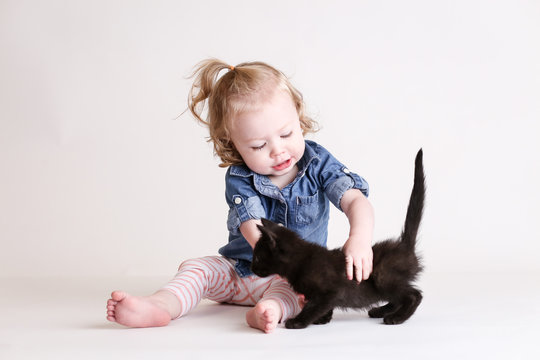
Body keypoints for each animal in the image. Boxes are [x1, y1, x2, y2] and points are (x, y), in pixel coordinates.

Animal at [251, 148, 424, 328]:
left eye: (257, 257)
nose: (251, 268)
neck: (301, 260)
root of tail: (404, 246)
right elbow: (323, 306)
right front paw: (323, 319)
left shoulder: (330, 291)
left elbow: (313, 307)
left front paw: (298, 321)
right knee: (397, 298)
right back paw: (380, 311)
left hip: (383, 276)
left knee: (414, 295)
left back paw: (396, 317)